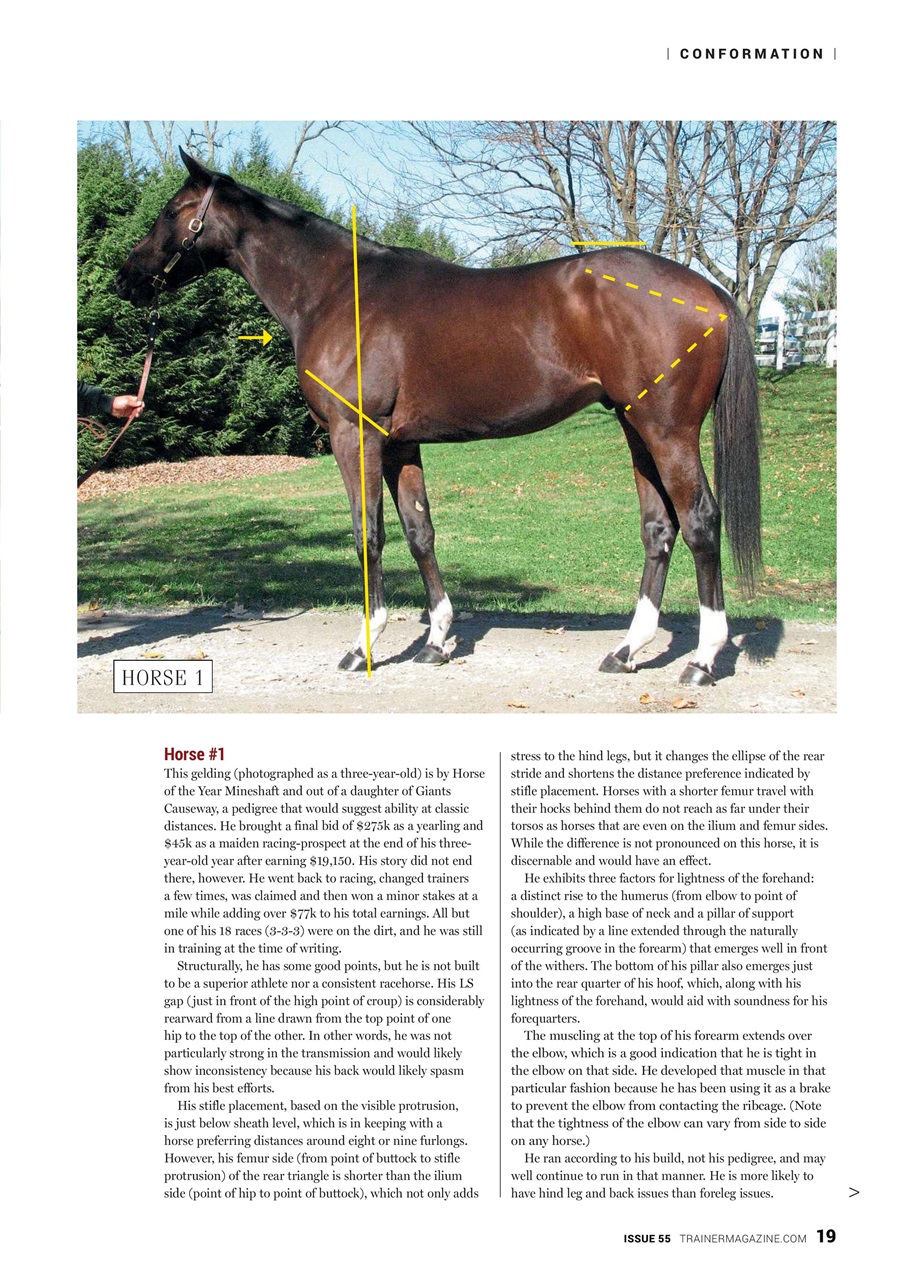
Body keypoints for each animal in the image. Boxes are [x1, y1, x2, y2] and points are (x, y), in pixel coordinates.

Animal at [115, 148, 761, 686]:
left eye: (173, 211)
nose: (126, 277)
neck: (336, 291)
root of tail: (710, 292)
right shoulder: (399, 444)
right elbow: (419, 532)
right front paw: (437, 641)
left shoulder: (355, 437)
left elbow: (368, 535)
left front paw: (364, 646)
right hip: (635, 428)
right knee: (659, 529)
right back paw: (627, 650)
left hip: (668, 432)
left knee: (700, 522)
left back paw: (703, 660)